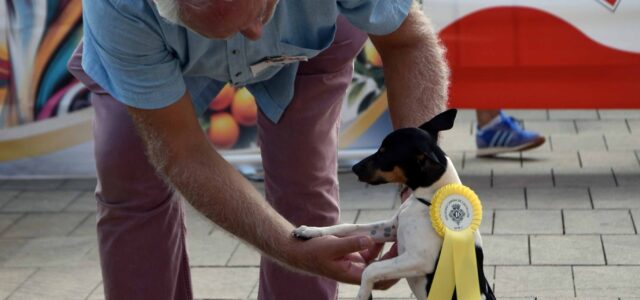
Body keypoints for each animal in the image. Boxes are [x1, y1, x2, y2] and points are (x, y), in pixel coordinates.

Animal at [292, 109, 498, 300]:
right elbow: (347, 227)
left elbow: (371, 269)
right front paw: (309, 230)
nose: (354, 168)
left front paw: (363, 294)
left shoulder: (420, 259)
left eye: (384, 154)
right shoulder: (390, 228)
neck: (426, 202)